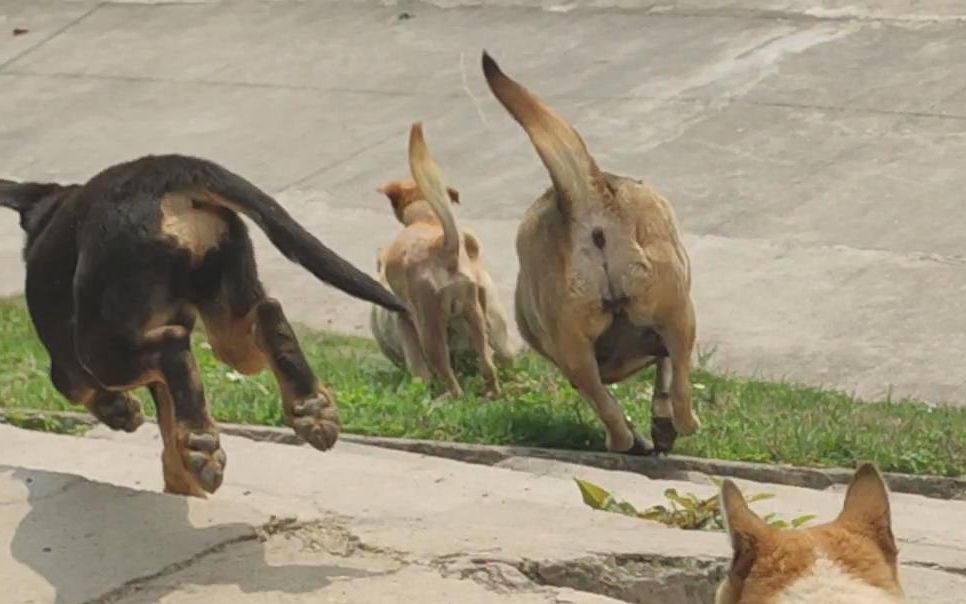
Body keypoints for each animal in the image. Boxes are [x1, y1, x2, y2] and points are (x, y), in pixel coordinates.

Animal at [0, 155, 404, 496]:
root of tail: (165, 170)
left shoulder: (68, 366)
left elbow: (78, 389)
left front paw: (122, 413)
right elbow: (169, 420)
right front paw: (180, 477)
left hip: (100, 346)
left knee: (174, 346)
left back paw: (201, 440)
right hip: (229, 305)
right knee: (266, 315)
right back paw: (309, 407)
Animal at [368, 122, 516, 396]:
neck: (426, 218)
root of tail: (442, 246)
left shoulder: (407, 320)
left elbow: (420, 370)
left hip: (430, 328)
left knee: (448, 376)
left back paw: (450, 397)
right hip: (474, 315)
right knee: (488, 363)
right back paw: (492, 392)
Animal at [484, 54, 704, 456]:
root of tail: (587, 198)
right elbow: (662, 378)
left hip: (581, 348)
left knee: (612, 408)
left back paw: (629, 441)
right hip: (676, 315)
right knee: (672, 389)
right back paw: (665, 429)